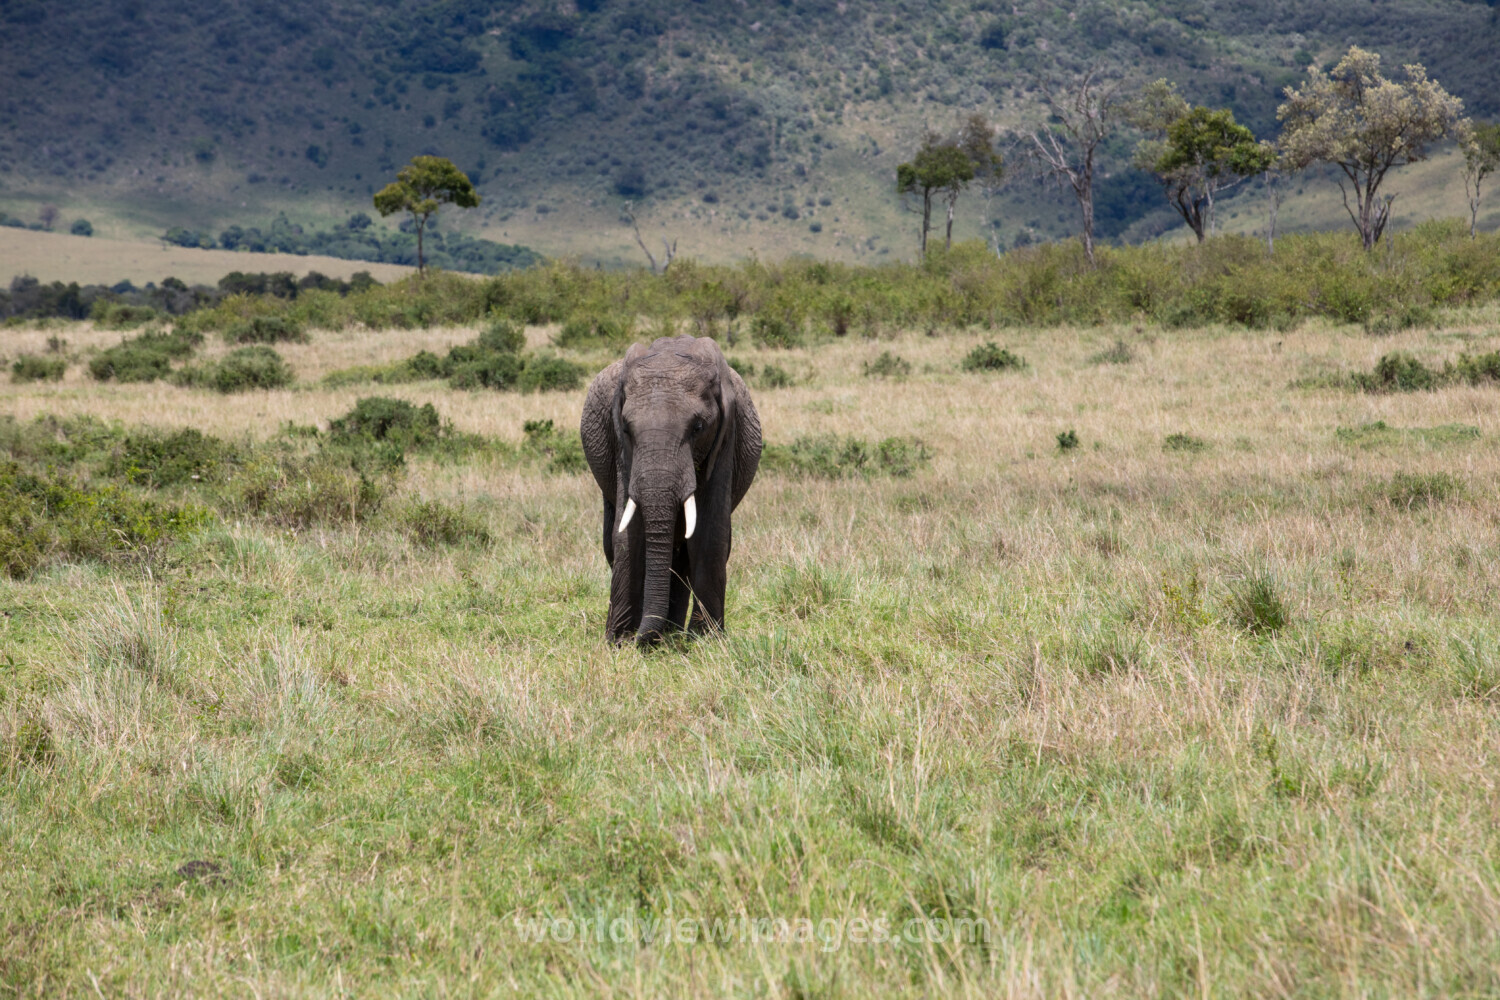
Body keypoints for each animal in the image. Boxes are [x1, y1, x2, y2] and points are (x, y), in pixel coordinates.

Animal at [580, 335, 762, 645]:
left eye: (698, 427)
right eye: (626, 429)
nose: (641, 639)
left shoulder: (727, 435)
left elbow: (709, 531)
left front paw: (705, 641)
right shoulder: (622, 450)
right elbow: (628, 533)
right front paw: (618, 641)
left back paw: (673, 633)